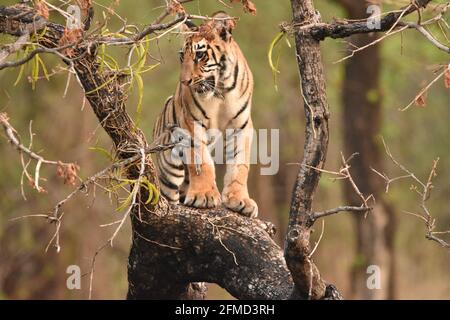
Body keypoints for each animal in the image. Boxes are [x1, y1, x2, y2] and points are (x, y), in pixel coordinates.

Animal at [152, 11, 256, 218]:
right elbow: (200, 160)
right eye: (182, 56)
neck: (221, 91)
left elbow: (240, 164)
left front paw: (240, 199)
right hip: (169, 175)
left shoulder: (242, 127)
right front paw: (204, 195)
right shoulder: (191, 123)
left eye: (199, 54)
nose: (184, 81)